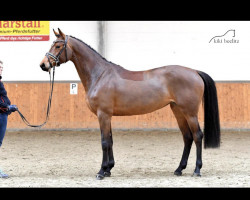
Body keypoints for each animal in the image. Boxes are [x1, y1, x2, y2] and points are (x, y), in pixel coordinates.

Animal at [39, 28, 221, 180]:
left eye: (58, 45)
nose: (43, 64)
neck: (100, 75)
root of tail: (195, 72)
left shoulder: (103, 114)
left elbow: (104, 142)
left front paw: (101, 172)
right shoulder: (107, 116)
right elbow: (110, 140)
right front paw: (108, 169)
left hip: (190, 113)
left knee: (197, 136)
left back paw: (197, 170)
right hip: (178, 111)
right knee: (187, 137)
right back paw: (179, 169)